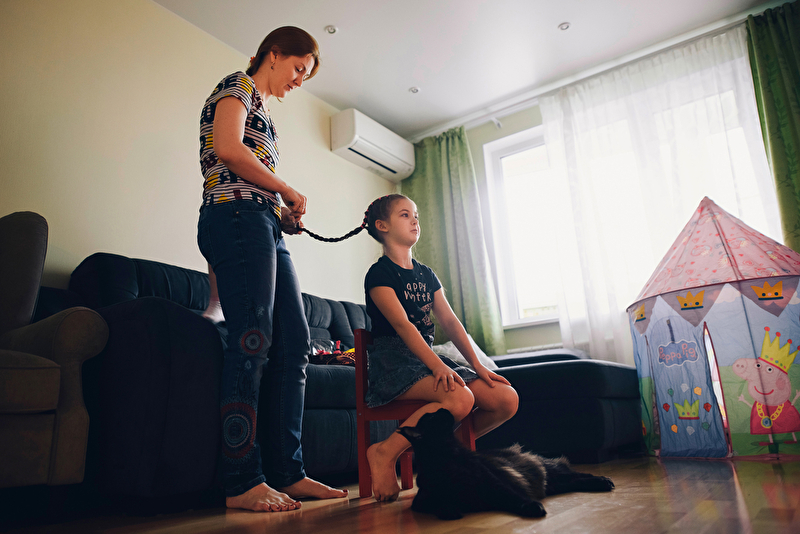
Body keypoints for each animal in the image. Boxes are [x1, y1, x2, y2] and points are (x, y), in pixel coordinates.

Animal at [398, 408, 615, 520]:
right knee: (575, 480)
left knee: (579, 474)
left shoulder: (492, 482)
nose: (444, 408)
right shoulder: (421, 499)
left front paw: (532, 507)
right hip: (555, 484)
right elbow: (436, 503)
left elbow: (513, 497)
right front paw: (450, 510)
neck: (449, 458)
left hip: (553, 474)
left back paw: (604, 481)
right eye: (433, 417)